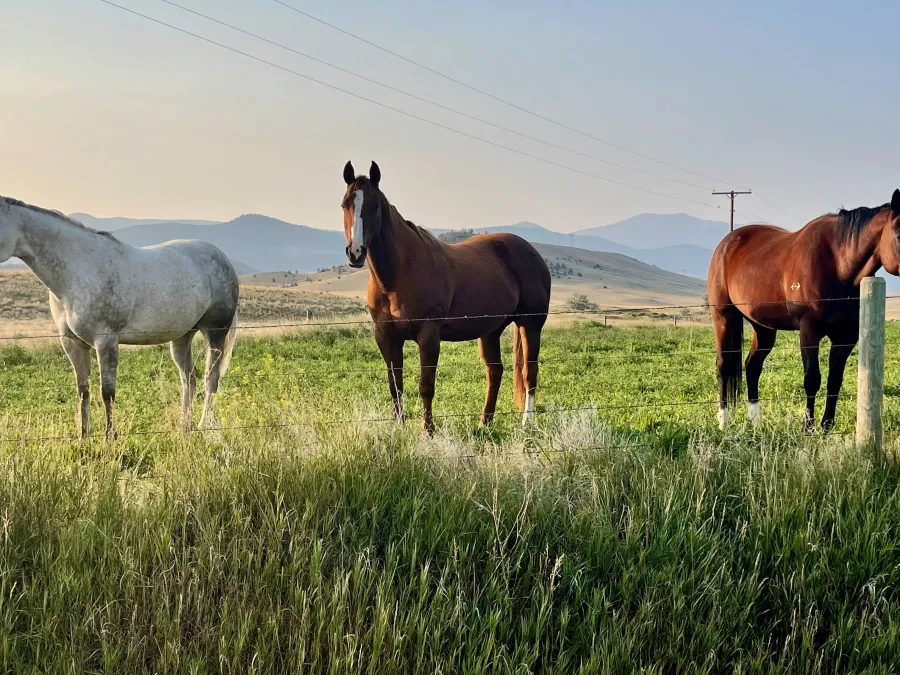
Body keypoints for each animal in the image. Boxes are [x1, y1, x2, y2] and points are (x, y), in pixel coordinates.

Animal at [0, 196, 239, 438]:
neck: (79, 271)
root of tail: (222, 257)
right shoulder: (72, 342)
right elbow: (83, 390)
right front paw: (83, 437)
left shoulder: (106, 341)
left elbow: (107, 392)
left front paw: (109, 438)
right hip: (182, 336)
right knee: (189, 378)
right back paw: (184, 428)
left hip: (215, 332)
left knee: (211, 379)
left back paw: (203, 426)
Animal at [341, 161, 551, 434]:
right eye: (345, 204)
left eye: (374, 206)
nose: (355, 253)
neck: (400, 275)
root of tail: (531, 251)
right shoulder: (386, 337)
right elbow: (395, 385)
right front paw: (398, 430)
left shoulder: (428, 336)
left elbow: (426, 385)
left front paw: (427, 432)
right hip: (490, 331)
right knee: (495, 372)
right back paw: (484, 423)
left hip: (530, 324)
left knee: (529, 372)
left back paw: (528, 423)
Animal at [708, 189, 900, 431]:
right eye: (899, 236)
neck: (838, 264)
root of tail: (727, 244)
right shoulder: (809, 331)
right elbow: (812, 379)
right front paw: (808, 427)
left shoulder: (845, 337)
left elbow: (834, 380)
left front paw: (827, 425)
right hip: (724, 317)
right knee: (723, 366)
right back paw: (724, 420)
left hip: (763, 328)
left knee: (752, 367)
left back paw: (756, 420)